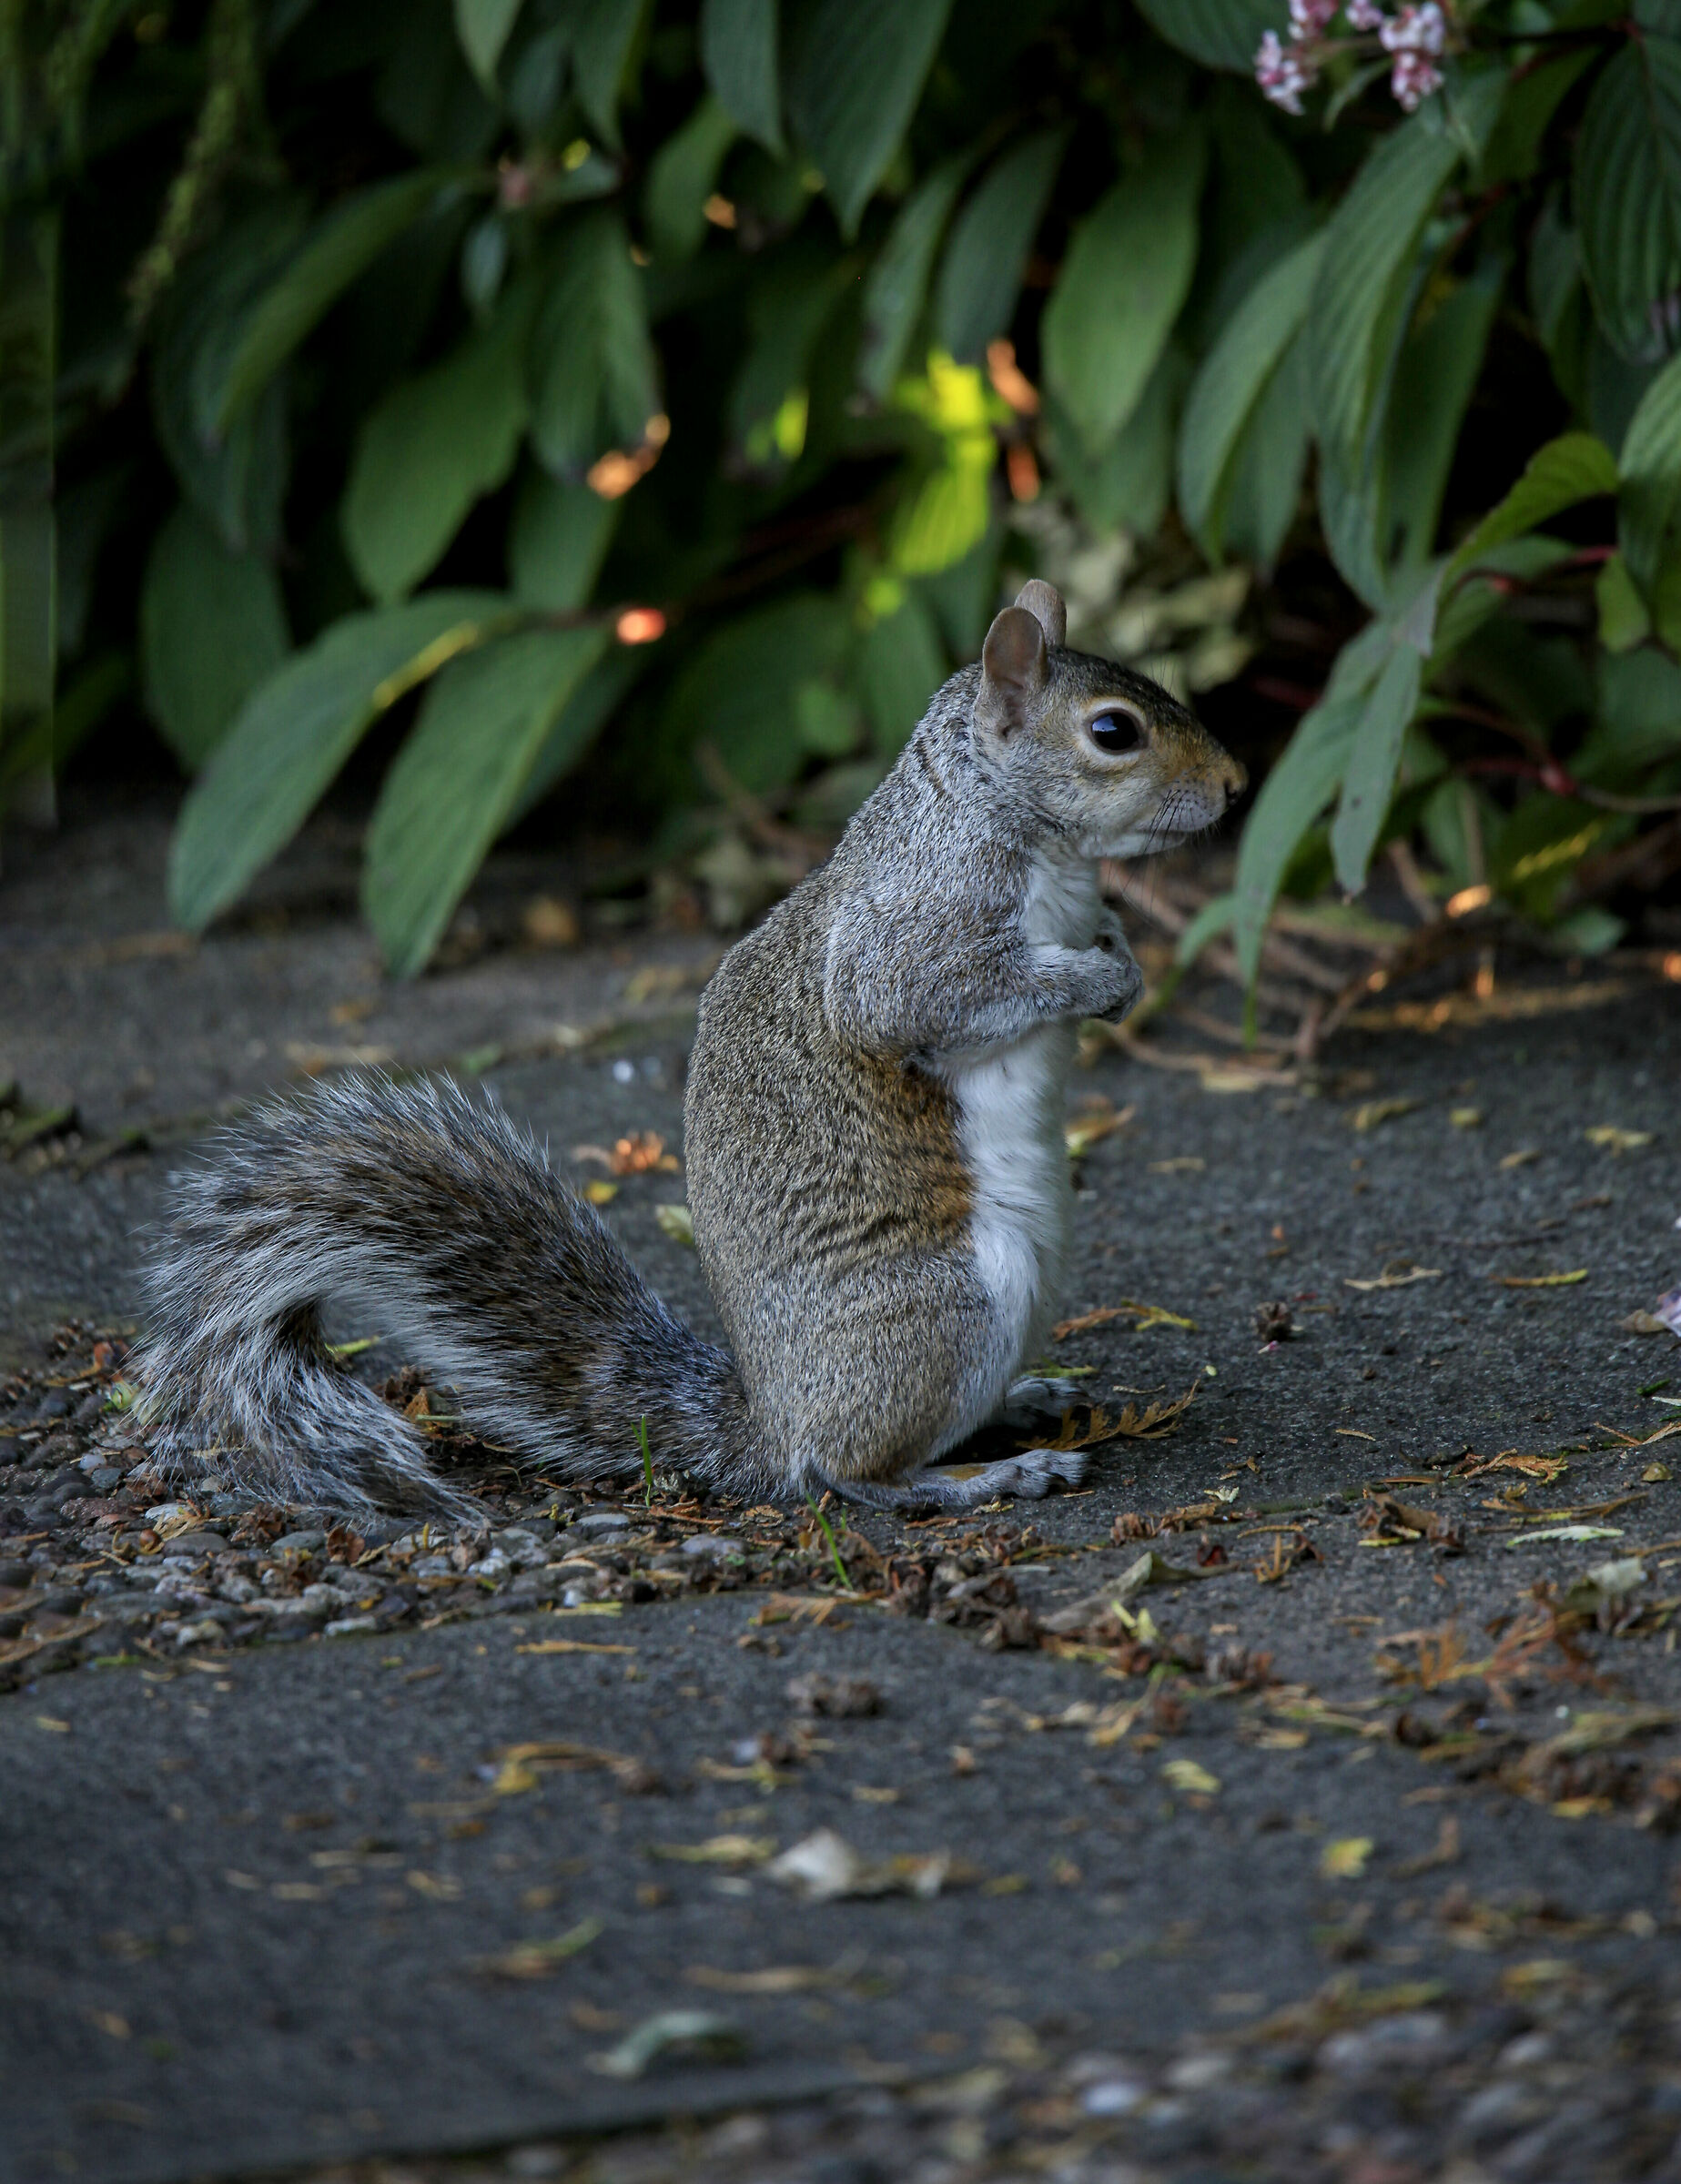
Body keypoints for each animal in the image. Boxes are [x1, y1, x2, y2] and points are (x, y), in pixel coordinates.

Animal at [135, 581, 1244, 1519]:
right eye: (1113, 732)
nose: (1236, 782)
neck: (1008, 824)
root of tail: (769, 1421)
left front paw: (1122, 958)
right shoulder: (912, 936)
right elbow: (920, 1002)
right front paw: (1096, 983)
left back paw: (1022, 1404)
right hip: (941, 1312)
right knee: (847, 1473)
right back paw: (989, 1475)